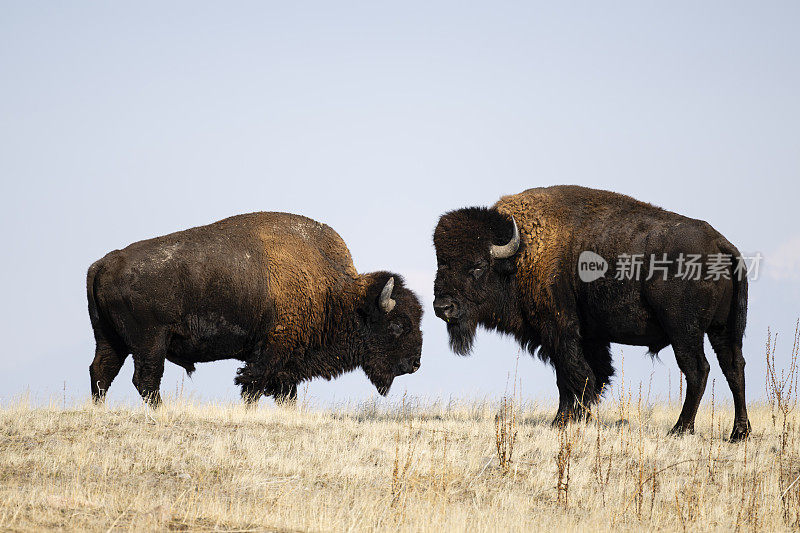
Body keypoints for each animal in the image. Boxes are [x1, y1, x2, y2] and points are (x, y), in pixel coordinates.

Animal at [86, 212, 424, 404]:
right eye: (397, 325)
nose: (414, 364)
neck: (335, 294)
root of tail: (103, 263)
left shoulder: (287, 363)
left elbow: (285, 393)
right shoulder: (270, 352)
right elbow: (252, 386)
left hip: (110, 339)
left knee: (102, 371)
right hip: (151, 341)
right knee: (145, 380)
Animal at [434, 185, 752, 438]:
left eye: (478, 266)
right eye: (441, 262)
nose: (443, 307)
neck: (521, 254)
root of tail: (721, 244)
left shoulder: (559, 332)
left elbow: (571, 375)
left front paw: (562, 422)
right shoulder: (590, 337)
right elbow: (593, 374)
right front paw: (576, 418)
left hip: (684, 331)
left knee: (698, 370)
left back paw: (681, 429)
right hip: (724, 329)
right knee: (733, 367)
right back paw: (739, 433)